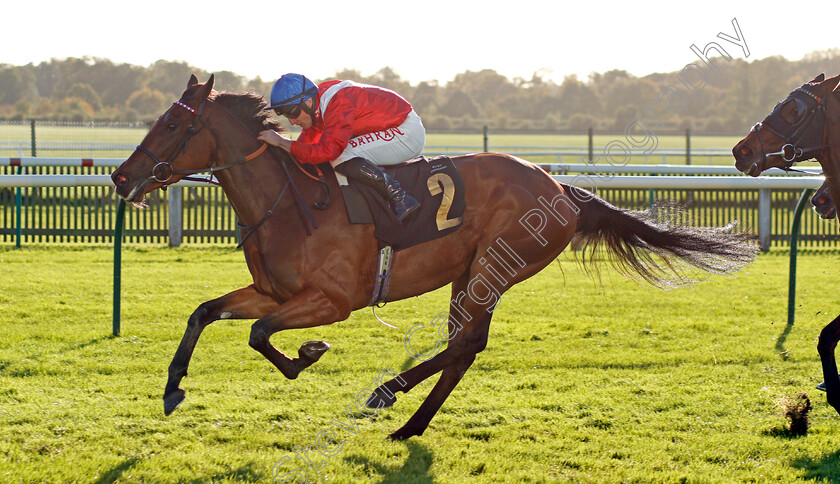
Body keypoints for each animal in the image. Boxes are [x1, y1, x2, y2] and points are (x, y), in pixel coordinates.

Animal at [108, 73, 756, 440]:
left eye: (172, 124)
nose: (121, 177)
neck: (288, 201)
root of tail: (559, 187)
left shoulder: (330, 301)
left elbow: (261, 335)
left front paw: (308, 354)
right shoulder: (273, 291)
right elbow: (204, 312)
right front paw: (172, 388)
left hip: (494, 267)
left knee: (466, 344)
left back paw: (395, 405)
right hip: (469, 273)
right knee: (462, 346)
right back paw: (400, 410)